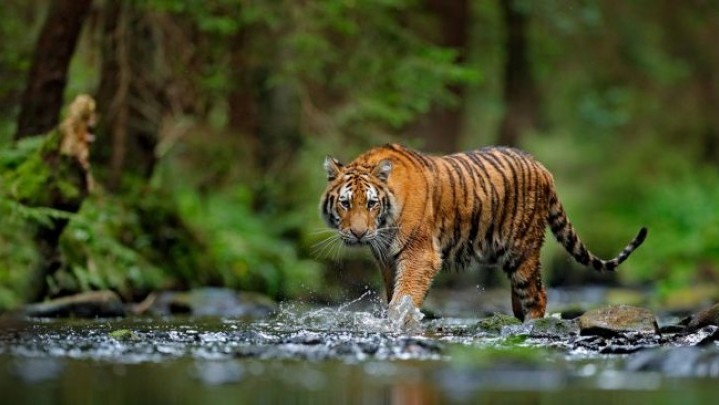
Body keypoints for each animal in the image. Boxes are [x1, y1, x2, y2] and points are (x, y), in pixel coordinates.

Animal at [320, 144, 648, 320]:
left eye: (371, 203)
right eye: (346, 203)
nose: (359, 234)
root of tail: (542, 167)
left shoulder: (420, 255)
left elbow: (404, 297)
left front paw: (398, 323)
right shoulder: (387, 260)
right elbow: (393, 295)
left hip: (522, 251)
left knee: (537, 295)